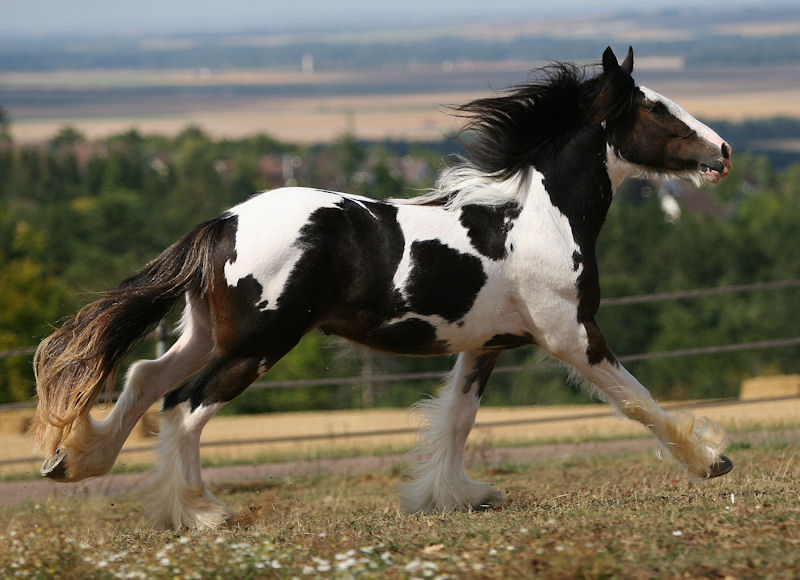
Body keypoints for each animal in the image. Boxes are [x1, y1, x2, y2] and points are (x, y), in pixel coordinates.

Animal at [29, 47, 732, 532]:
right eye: (655, 108)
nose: (723, 150)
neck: (535, 220)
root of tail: (224, 223)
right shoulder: (572, 335)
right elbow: (637, 400)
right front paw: (711, 460)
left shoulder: (485, 345)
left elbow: (457, 419)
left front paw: (453, 497)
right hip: (258, 344)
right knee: (183, 406)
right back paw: (202, 513)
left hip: (208, 334)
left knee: (145, 377)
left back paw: (77, 463)